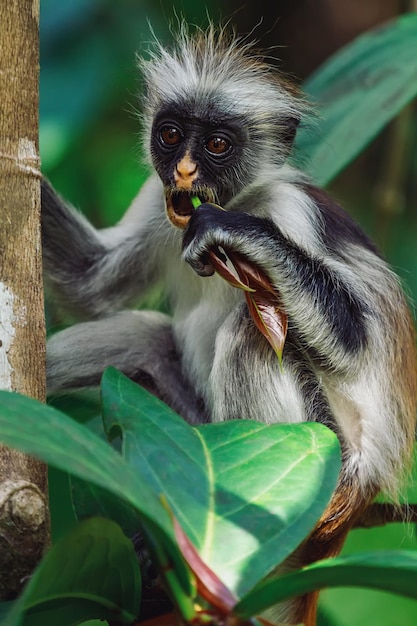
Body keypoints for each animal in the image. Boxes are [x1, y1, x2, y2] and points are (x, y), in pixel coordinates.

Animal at [41, 25, 416, 624]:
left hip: (331, 467)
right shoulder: (164, 203)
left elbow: (356, 343)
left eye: (218, 145)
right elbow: (90, 284)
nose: (185, 171)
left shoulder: (289, 209)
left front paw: (236, 231)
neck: (244, 196)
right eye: (170, 135)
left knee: (249, 335)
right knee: (142, 337)